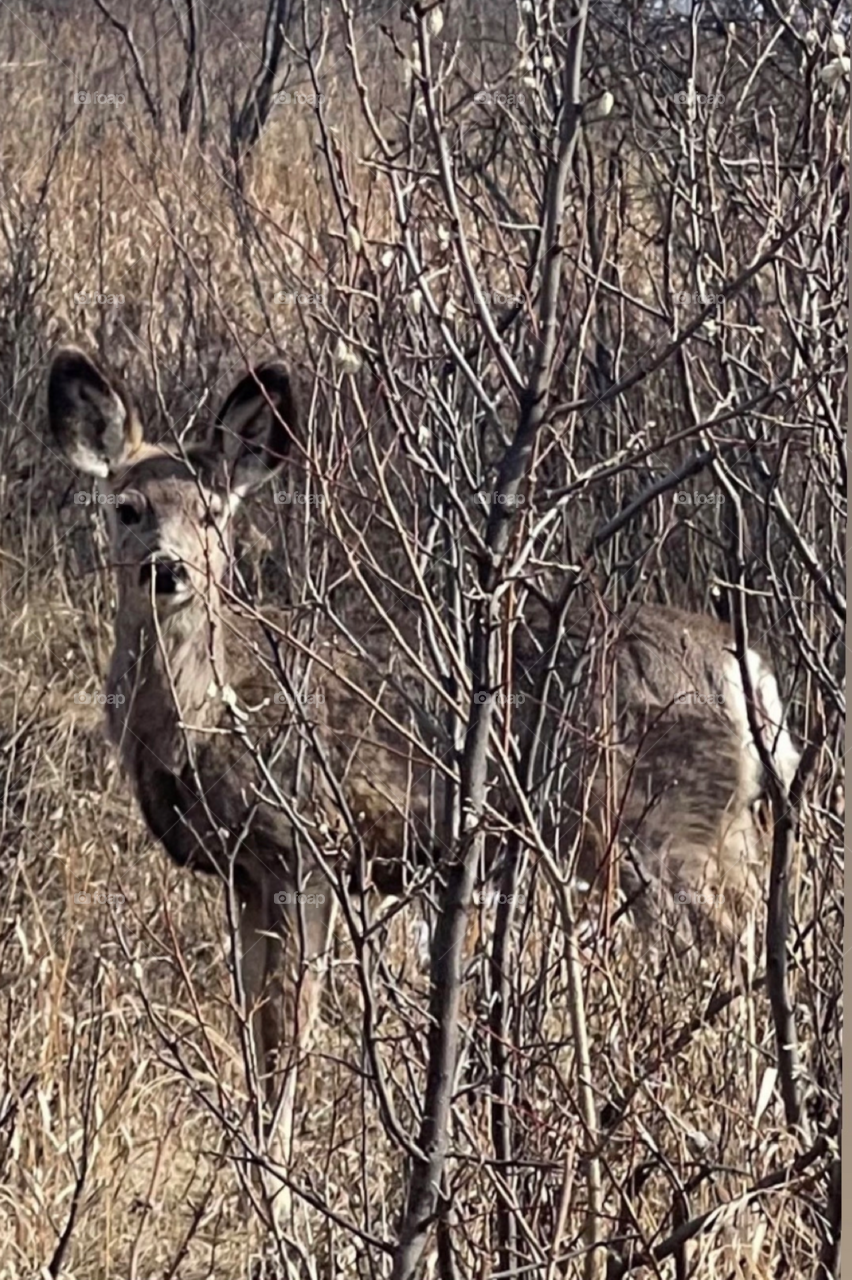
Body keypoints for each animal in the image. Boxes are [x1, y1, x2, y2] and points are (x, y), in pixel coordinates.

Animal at [46, 346, 799, 1232]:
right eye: (127, 507)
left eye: (211, 514)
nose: (166, 570)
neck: (208, 720)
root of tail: (747, 677)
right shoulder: (245, 873)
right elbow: (256, 1027)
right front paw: (259, 1169)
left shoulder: (310, 845)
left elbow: (290, 1030)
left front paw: (281, 1195)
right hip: (707, 827)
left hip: (669, 829)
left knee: (743, 947)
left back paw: (750, 1135)